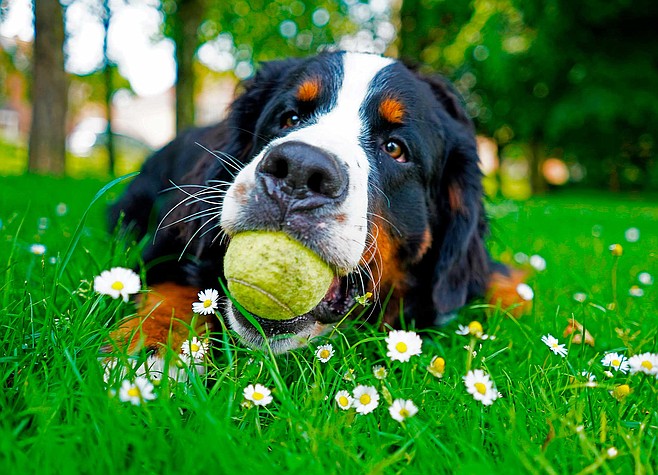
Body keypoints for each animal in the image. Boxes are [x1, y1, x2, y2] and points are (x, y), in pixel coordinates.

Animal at [109, 51, 528, 356]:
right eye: (290, 117)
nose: (299, 170)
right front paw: (149, 351)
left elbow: (505, 281)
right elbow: (175, 289)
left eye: (395, 148)